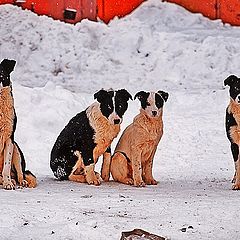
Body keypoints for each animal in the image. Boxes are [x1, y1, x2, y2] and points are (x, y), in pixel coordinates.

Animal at [0, 58, 36, 189]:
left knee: (20, 173)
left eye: (1, 74)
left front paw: (8, 183)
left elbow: (6, 165)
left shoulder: (9, 138)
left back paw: (18, 181)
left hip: (16, 147)